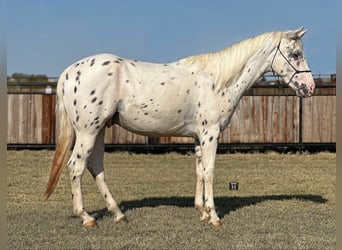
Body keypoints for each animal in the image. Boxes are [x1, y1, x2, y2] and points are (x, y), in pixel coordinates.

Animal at [44, 26, 316, 228]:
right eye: (294, 54)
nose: (309, 87)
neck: (217, 81)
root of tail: (69, 73)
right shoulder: (211, 134)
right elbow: (209, 171)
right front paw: (213, 217)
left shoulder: (199, 137)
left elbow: (199, 171)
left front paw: (202, 211)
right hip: (88, 132)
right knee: (76, 166)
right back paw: (87, 217)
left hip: (99, 130)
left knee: (95, 167)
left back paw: (118, 213)